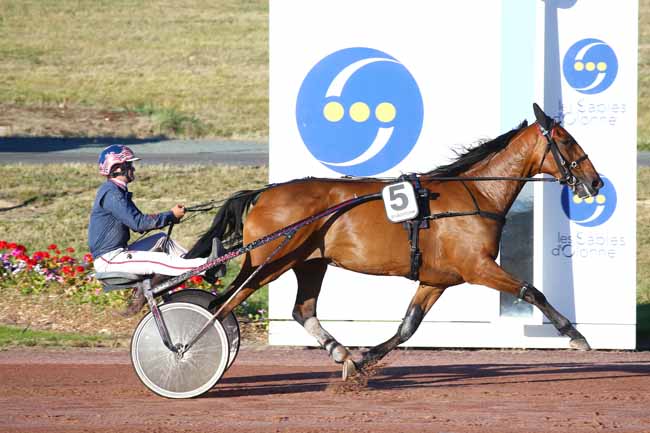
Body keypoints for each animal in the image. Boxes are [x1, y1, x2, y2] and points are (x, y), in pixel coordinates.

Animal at [186, 103, 603, 378]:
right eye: (566, 141)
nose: (595, 182)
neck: (476, 194)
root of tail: (262, 193)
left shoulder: (436, 279)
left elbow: (408, 327)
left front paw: (364, 358)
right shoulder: (477, 267)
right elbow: (532, 291)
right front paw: (575, 335)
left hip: (308, 262)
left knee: (302, 310)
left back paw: (340, 352)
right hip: (271, 261)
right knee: (223, 304)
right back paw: (187, 348)